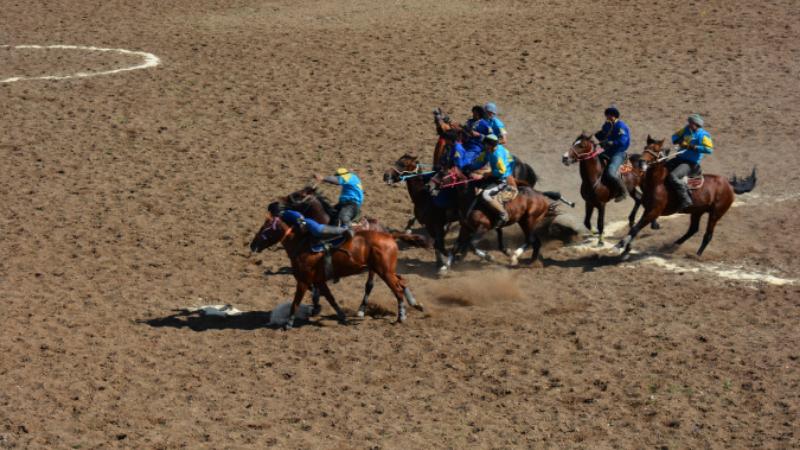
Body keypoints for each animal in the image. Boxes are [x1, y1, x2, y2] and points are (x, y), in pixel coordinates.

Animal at [252, 214, 424, 330]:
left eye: (265, 228)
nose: (252, 245)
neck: (302, 245)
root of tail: (389, 235)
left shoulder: (303, 281)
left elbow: (295, 302)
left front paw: (288, 324)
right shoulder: (319, 281)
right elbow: (331, 299)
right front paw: (341, 316)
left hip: (384, 272)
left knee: (397, 290)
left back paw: (401, 316)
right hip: (385, 270)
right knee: (401, 281)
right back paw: (415, 304)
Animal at [616, 137, 760, 256]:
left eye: (655, 150)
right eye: (645, 147)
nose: (641, 163)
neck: (658, 183)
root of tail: (729, 185)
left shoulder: (654, 212)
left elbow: (637, 227)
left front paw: (621, 244)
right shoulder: (648, 209)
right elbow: (636, 228)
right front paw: (626, 247)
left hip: (716, 213)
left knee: (708, 234)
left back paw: (697, 255)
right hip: (697, 212)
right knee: (693, 229)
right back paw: (673, 245)